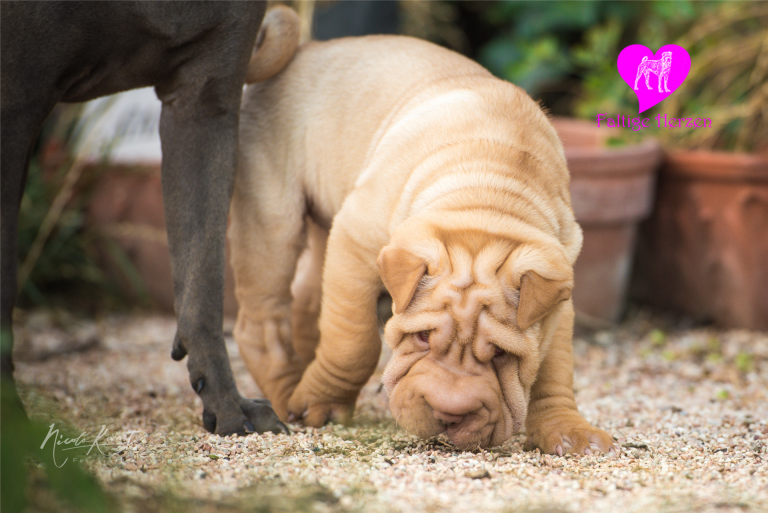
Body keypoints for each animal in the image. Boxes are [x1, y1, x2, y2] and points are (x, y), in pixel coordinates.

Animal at [229, 8, 618, 454]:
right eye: (422, 339)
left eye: (500, 356)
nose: (450, 414)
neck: (491, 191)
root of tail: (301, 52)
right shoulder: (356, 240)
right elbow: (353, 341)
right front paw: (323, 401)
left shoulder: (556, 292)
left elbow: (554, 368)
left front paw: (569, 430)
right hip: (272, 223)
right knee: (261, 323)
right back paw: (289, 394)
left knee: (305, 303)